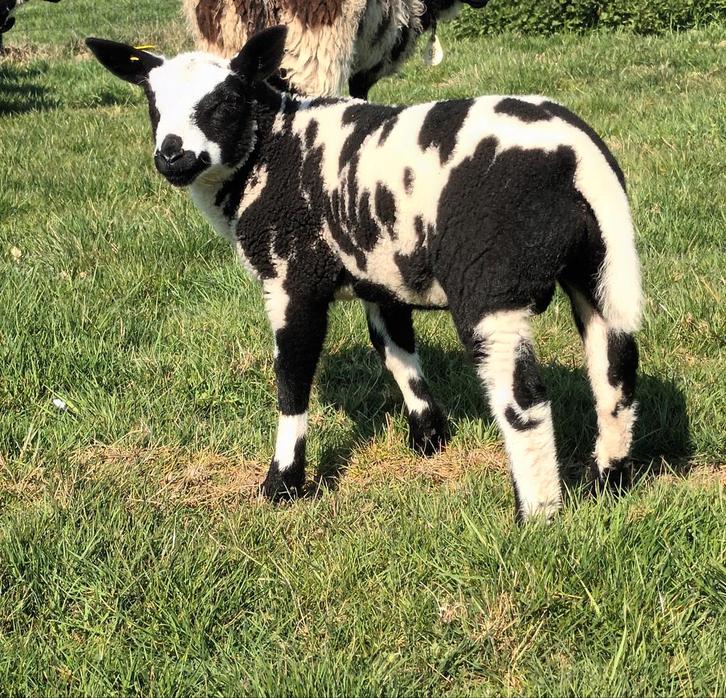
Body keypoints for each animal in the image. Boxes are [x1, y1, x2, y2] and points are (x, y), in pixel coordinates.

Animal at [85, 27, 643, 521]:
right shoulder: (378, 269)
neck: (269, 149)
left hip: (491, 282)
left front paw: (283, 483)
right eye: (152, 103)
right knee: (615, 372)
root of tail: (577, 157)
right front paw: (429, 436)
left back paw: (537, 516)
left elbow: (293, 376)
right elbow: (395, 349)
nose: (171, 155)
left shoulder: (292, 277)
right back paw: (606, 482)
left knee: (524, 399)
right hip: (603, 266)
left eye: (223, 102)